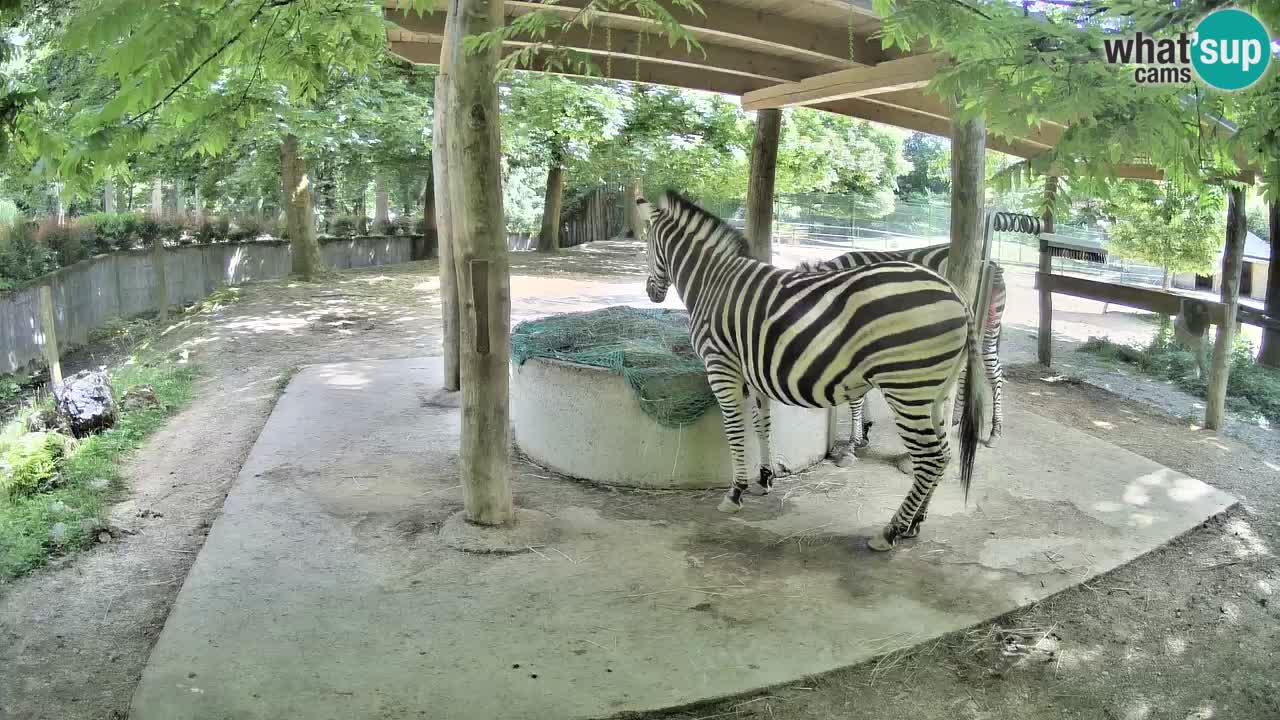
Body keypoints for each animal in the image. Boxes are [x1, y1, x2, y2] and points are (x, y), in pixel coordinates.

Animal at [794, 245, 1006, 458]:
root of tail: (991, 264)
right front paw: (864, 432)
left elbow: (856, 397)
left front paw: (852, 444)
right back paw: (961, 419)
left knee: (993, 373)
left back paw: (994, 431)